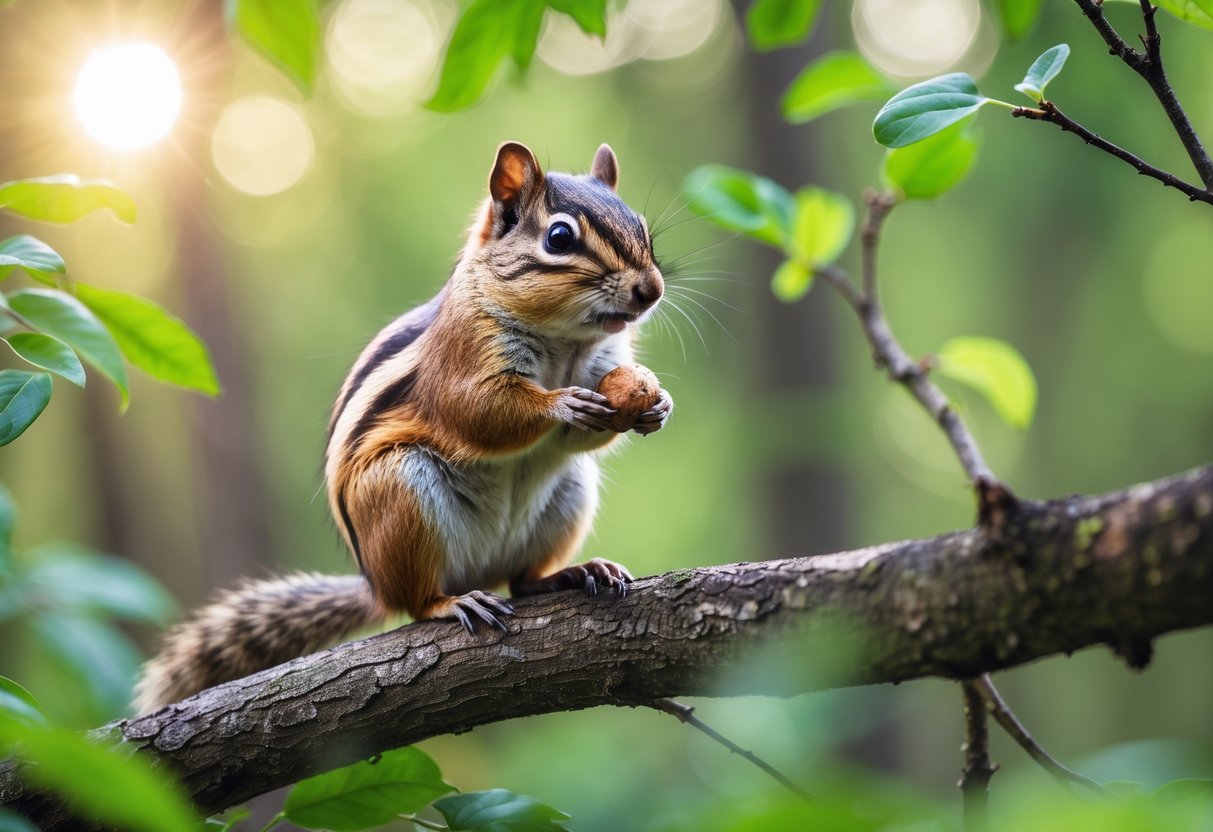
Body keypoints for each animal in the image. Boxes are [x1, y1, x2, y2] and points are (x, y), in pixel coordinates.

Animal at [134, 142, 672, 712]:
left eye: (641, 226)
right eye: (560, 238)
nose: (651, 289)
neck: (564, 342)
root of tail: (377, 585)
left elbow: (584, 432)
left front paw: (655, 405)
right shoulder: (460, 359)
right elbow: (478, 412)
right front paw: (561, 404)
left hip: (569, 493)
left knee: (523, 582)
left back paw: (574, 573)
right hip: (399, 491)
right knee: (417, 602)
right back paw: (451, 602)